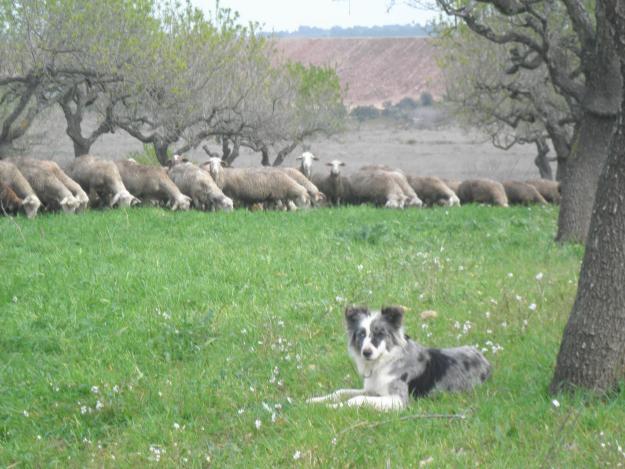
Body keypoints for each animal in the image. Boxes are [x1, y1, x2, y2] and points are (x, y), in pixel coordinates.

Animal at [308, 304, 492, 410]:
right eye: (361, 334)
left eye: (379, 333)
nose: (366, 352)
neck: (382, 363)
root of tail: (485, 361)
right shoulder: (372, 389)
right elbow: (341, 391)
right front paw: (316, 400)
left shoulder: (398, 400)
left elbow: (357, 399)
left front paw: (333, 406)